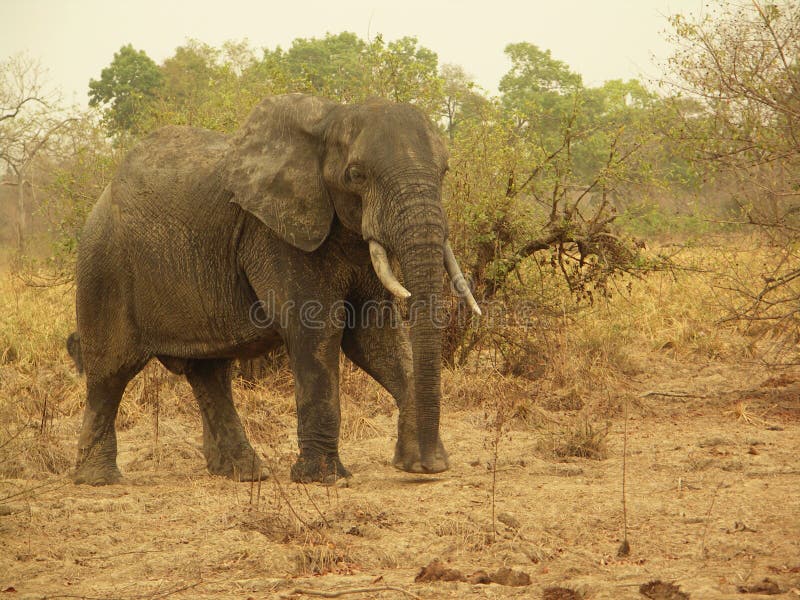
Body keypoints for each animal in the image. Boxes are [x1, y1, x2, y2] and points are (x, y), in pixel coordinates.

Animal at [69, 95, 478, 488]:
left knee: (210, 373)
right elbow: (317, 333)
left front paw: (422, 466)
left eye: (444, 172)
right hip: (103, 268)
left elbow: (376, 340)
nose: (429, 463)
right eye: (356, 175)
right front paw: (324, 479)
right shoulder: (274, 235)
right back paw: (99, 479)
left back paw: (244, 473)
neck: (330, 120)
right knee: (110, 373)